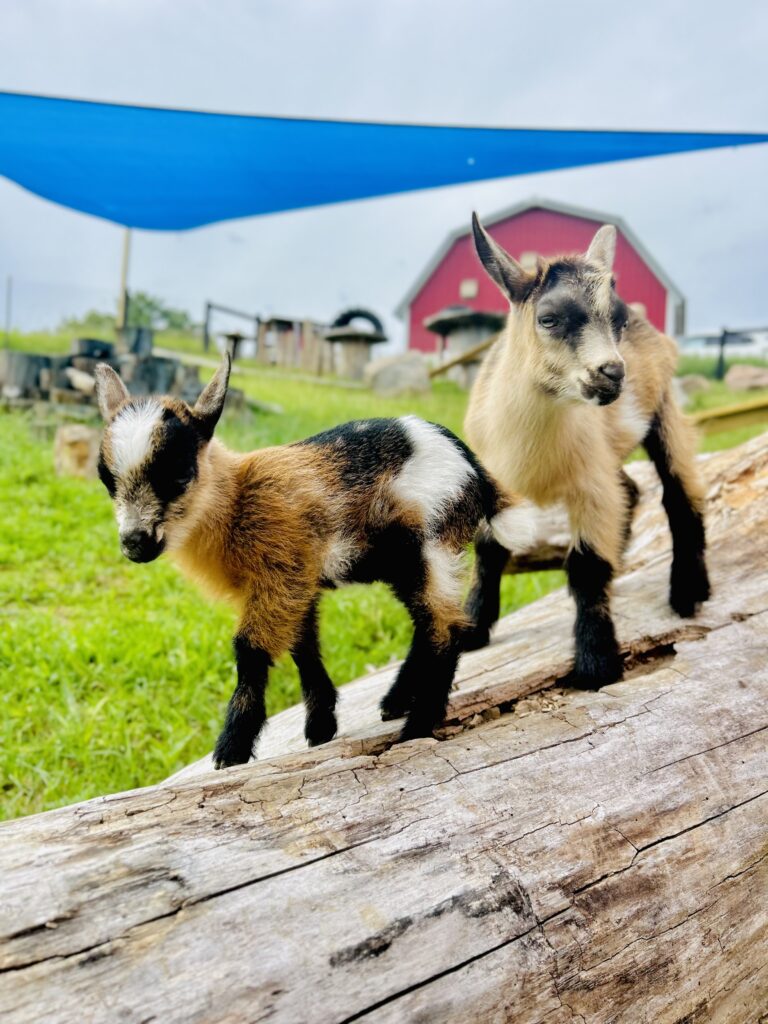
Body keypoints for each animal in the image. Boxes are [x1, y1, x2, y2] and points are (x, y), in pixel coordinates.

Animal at [93, 355, 533, 767]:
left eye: (180, 474)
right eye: (106, 479)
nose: (134, 544)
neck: (236, 499)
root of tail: (474, 466)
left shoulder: (281, 571)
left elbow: (249, 650)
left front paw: (231, 750)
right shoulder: (296, 579)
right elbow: (303, 647)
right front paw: (320, 726)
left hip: (432, 540)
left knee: (446, 630)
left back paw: (416, 728)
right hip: (408, 560)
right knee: (426, 625)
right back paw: (396, 702)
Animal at [463, 214, 710, 688]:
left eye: (619, 320)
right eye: (549, 318)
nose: (612, 372)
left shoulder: (590, 487)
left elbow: (586, 566)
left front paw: (597, 663)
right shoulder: (498, 479)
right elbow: (488, 552)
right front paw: (471, 628)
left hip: (664, 411)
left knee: (679, 491)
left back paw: (691, 591)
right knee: (632, 489)